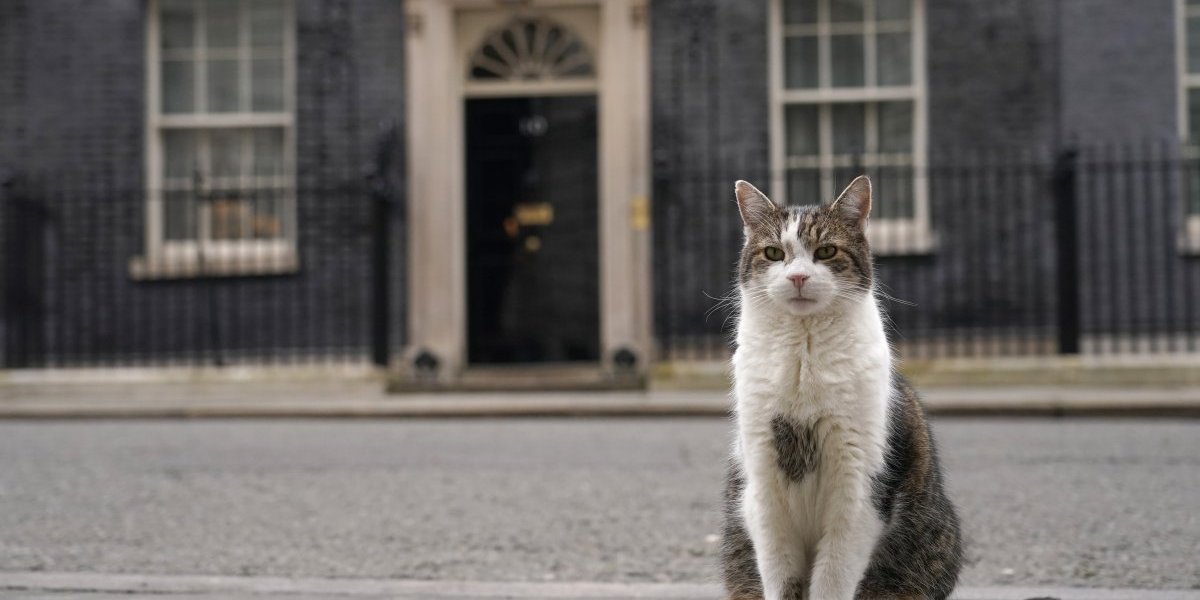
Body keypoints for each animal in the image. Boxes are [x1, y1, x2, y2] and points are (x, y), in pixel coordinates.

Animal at [715, 177, 960, 600]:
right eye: (774, 253)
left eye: (826, 251)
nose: (798, 277)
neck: (803, 354)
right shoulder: (763, 483)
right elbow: (780, 575)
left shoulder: (857, 488)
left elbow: (833, 578)